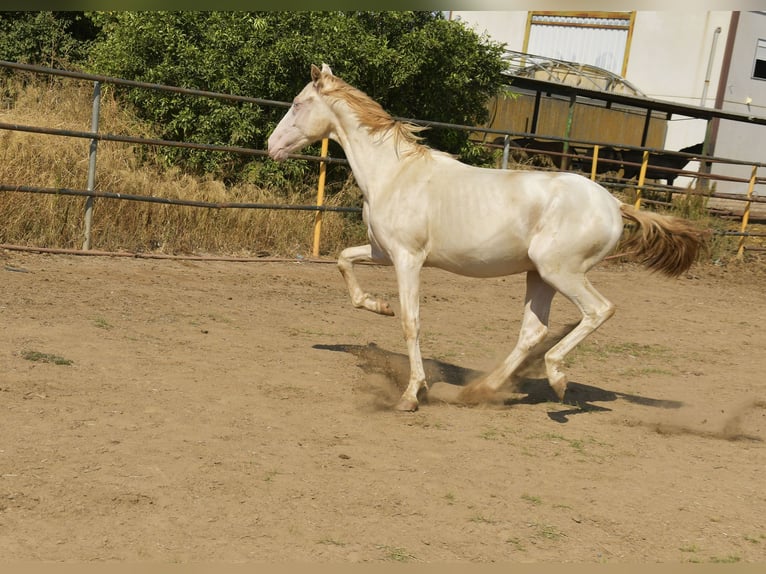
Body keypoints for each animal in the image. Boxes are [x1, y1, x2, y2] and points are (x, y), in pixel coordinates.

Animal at [268, 64, 708, 414]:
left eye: (297, 103)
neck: (394, 174)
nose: (271, 146)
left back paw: (557, 378)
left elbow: (412, 322)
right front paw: (379, 306)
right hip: (539, 276)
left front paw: (411, 394)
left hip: (561, 271)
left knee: (599, 311)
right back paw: (479, 391)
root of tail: (614, 204)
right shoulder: (382, 251)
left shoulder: (408, 258)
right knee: (532, 332)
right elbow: (344, 260)